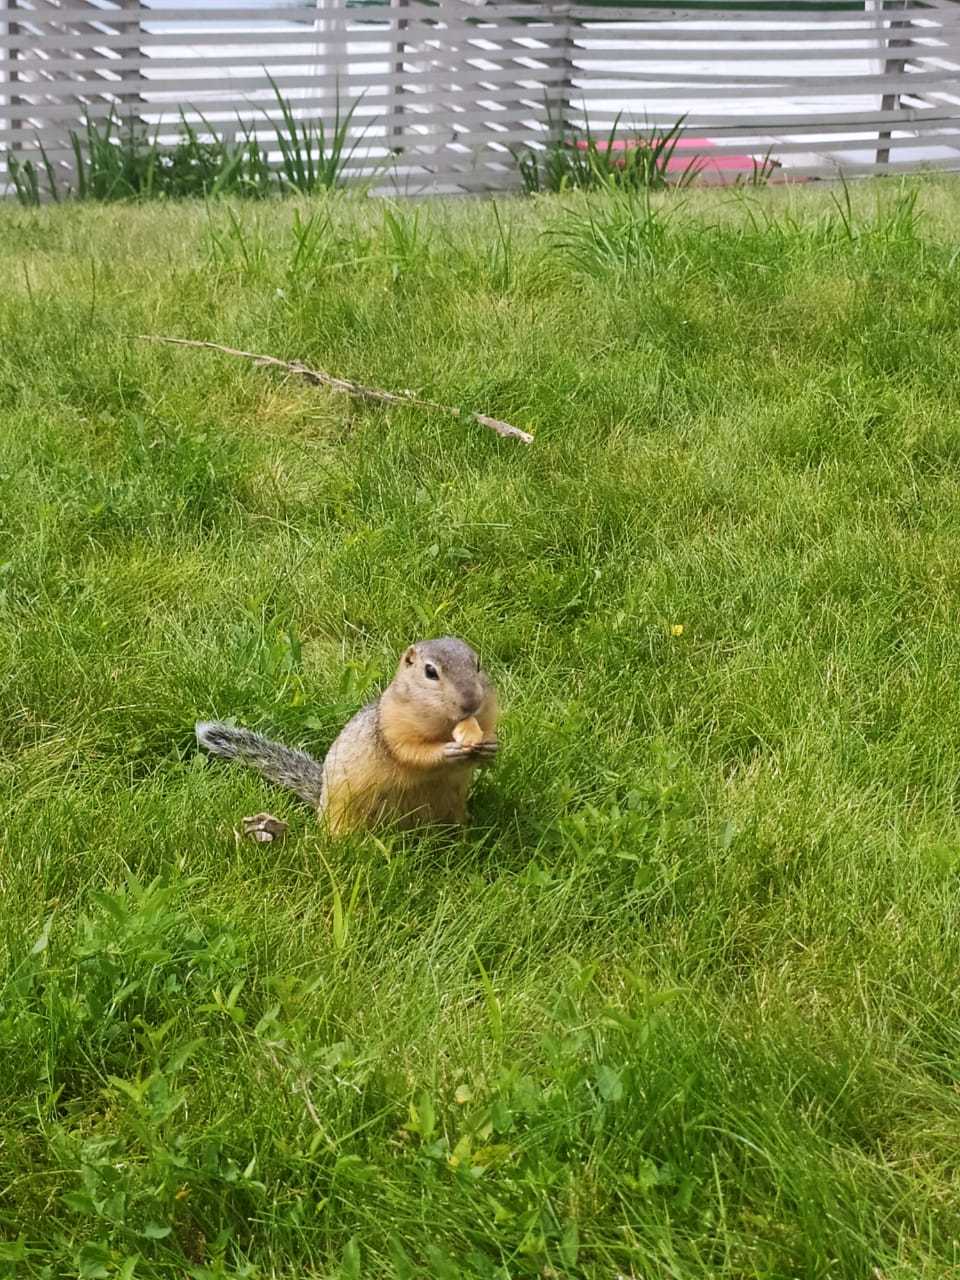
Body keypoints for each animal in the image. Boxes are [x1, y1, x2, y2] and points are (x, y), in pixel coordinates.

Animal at [193, 634, 496, 834]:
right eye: (430, 671)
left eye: (478, 664)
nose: (471, 702)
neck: (444, 726)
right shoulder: (391, 727)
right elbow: (411, 752)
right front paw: (446, 751)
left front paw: (490, 746)